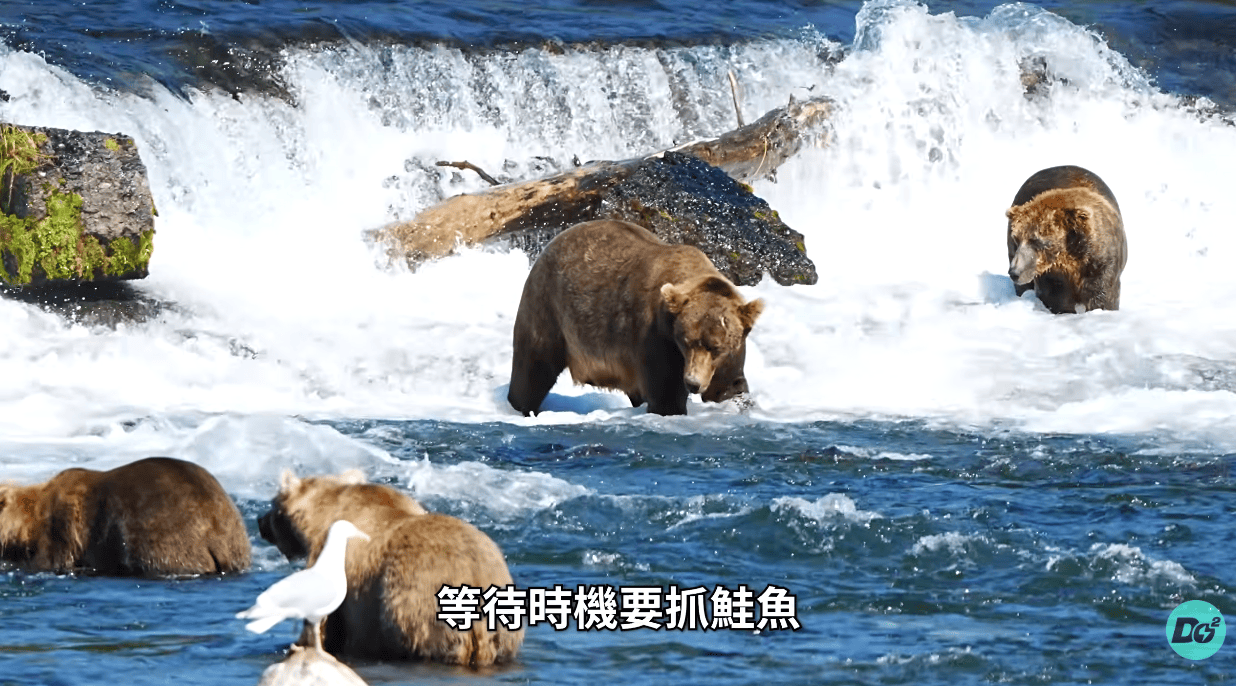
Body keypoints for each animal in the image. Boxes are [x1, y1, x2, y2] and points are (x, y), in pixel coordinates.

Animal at [257, 469, 523, 667]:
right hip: (505, 622)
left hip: (414, 602)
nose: (260, 522)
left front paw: (300, 644)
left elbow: (324, 617)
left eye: (271, 503)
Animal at [507, 219, 765, 416]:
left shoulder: (728, 356)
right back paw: (521, 406)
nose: (693, 383)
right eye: (685, 341)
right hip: (549, 307)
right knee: (534, 367)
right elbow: (665, 395)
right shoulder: (655, 337)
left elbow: (729, 386)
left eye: (716, 347)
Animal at [1005, 165, 1128, 314]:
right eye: (1017, 238)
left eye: (1037, 240)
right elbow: (1055, 297)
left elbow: (1103, 296)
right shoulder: (1052, 276)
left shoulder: (1101, 263)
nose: (1015, 272)